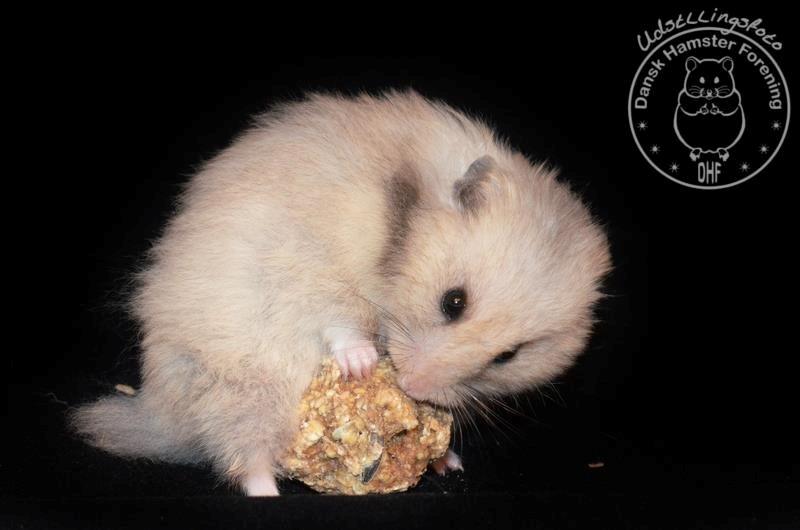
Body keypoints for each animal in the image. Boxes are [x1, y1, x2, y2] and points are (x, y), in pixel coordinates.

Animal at [70, 90, 612, 496]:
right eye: (453, 301)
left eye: (508, 356)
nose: (412, 387)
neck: (399, 238)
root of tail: (160, 412)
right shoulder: (312, 265)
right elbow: (339, 316)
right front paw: (362, 364)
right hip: (243, 383)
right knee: (241, 454)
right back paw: (268, 491)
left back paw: (446, 462)